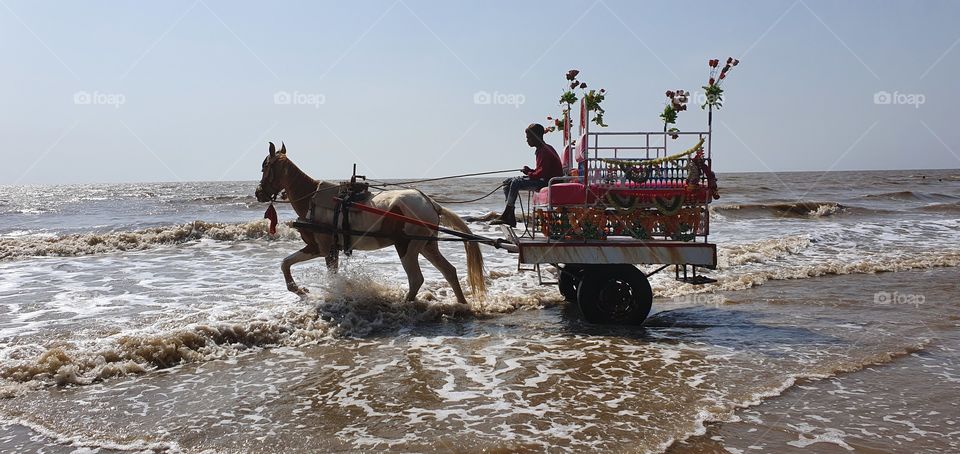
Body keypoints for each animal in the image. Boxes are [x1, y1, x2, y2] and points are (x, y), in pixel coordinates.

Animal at [253, 142, 488, 306]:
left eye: (264, 167)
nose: (258, 193)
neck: (313, 199)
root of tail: (430, 203)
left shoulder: (320, 248)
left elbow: (288, 264)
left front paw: (302, 290)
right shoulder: (328, 250)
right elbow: (290, 265)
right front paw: (303, 290)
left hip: (407, 246)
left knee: (416, 279)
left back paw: (404, 305)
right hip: (427, 245)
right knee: (449, 271)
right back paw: (461, 304)